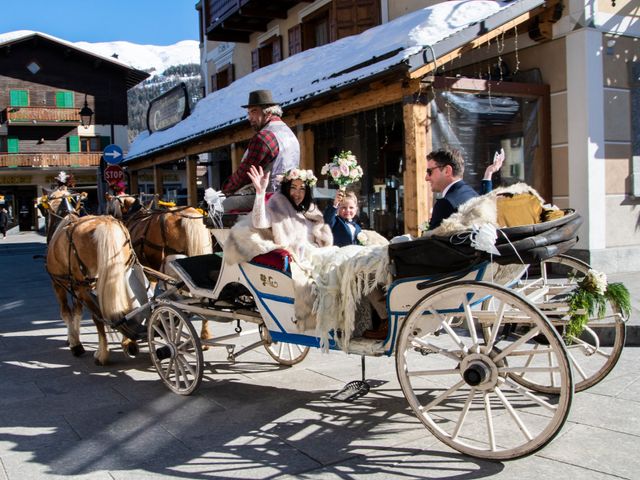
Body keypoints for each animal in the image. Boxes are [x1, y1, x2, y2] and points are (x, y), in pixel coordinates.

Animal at [46, 216, 144, 366]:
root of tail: (106, 223)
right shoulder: (76, 288)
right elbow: (77, 312)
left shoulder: (58, 284)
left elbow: (66, 313)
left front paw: (75, 344)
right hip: (123, 275)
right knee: (125, 310)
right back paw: (129, 343)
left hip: (87, 287)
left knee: (98, 317)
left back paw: (102, 354)